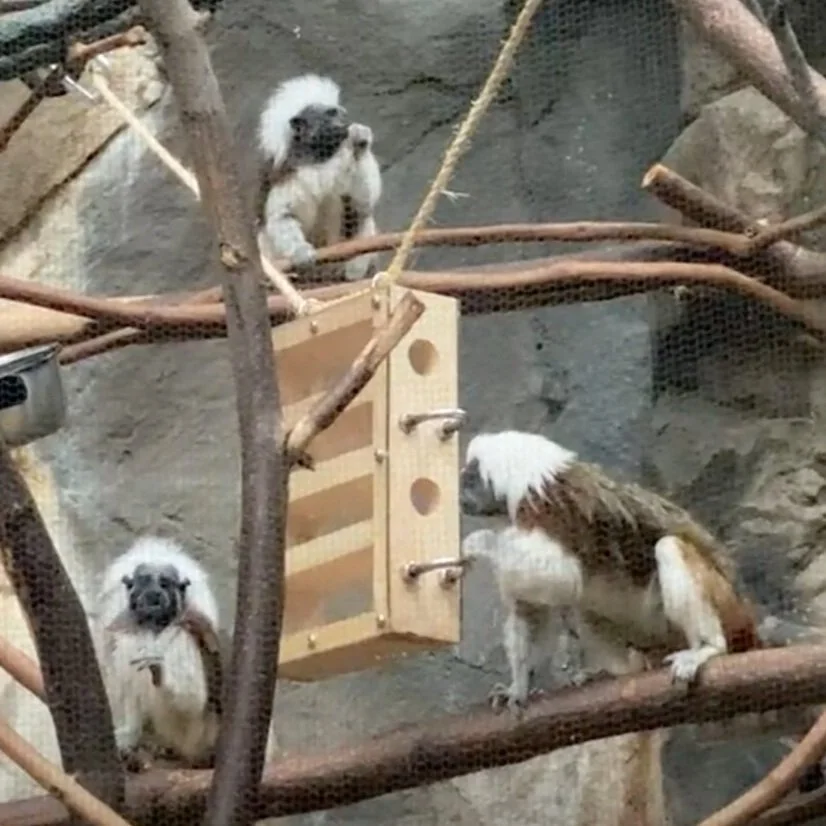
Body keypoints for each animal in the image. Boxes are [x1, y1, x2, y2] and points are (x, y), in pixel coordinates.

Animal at [255, 73, 382, 282]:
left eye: (339, 113)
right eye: (331, 113)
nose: (343, 119)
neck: (318, 156)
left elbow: (360, 206)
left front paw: (360, 139)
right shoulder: (284, 171)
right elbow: (282, 216)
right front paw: (301, 252)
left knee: (364, 222)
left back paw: (352, 275)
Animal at [458, 430, 761, 715]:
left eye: (469, 480)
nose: (460, 496)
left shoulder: (545, 509)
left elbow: (562, 574)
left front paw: (479, 543)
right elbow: (530, 606)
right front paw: (518, 687)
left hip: (726, 608)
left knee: (668, 547)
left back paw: (709, 648)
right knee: (582, 605)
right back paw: (617, 674)